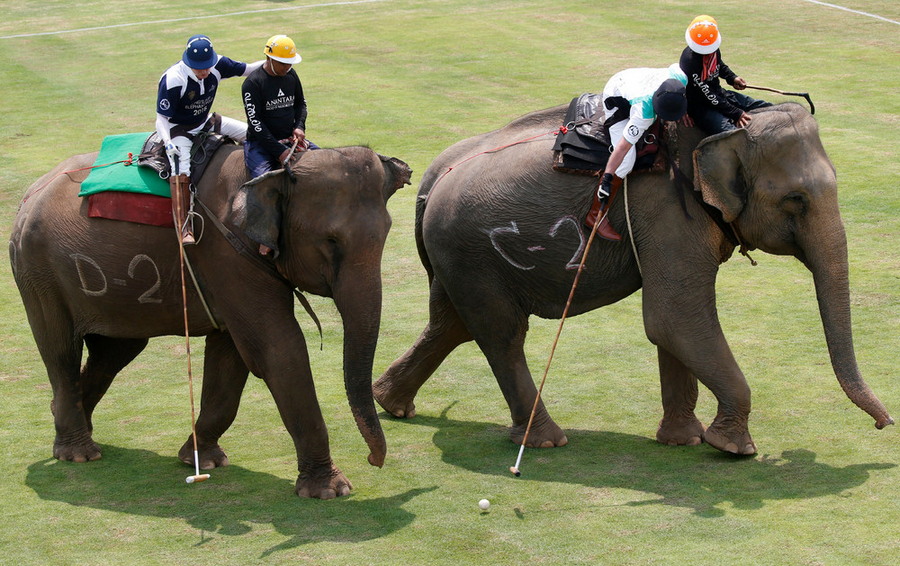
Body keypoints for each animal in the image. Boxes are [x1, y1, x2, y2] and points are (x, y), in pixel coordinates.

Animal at [9, 144, 412, 500]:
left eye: (386, 234)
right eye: (330, 241)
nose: (373, 460)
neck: (276, 166)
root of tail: (30, 194)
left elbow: (232, 355)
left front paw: (203, 460)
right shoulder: (225, 251)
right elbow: (277, 349)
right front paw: (331, 490)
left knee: (115, 351)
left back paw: (72, 423)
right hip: (38, 270)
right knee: (60, 348)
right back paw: (79, 453)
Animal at [374, 103, 892, 458]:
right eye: (796, 200)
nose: (885, 425)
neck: (719, 131)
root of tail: (433, 176)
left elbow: (675, 328)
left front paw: (683, 441)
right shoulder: (667, 211)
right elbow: (673, 319)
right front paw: (733, 448)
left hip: (455, 258)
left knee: (450, 324)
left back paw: (392, 404)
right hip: (473, 253)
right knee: (501, 335)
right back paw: (546, 442)